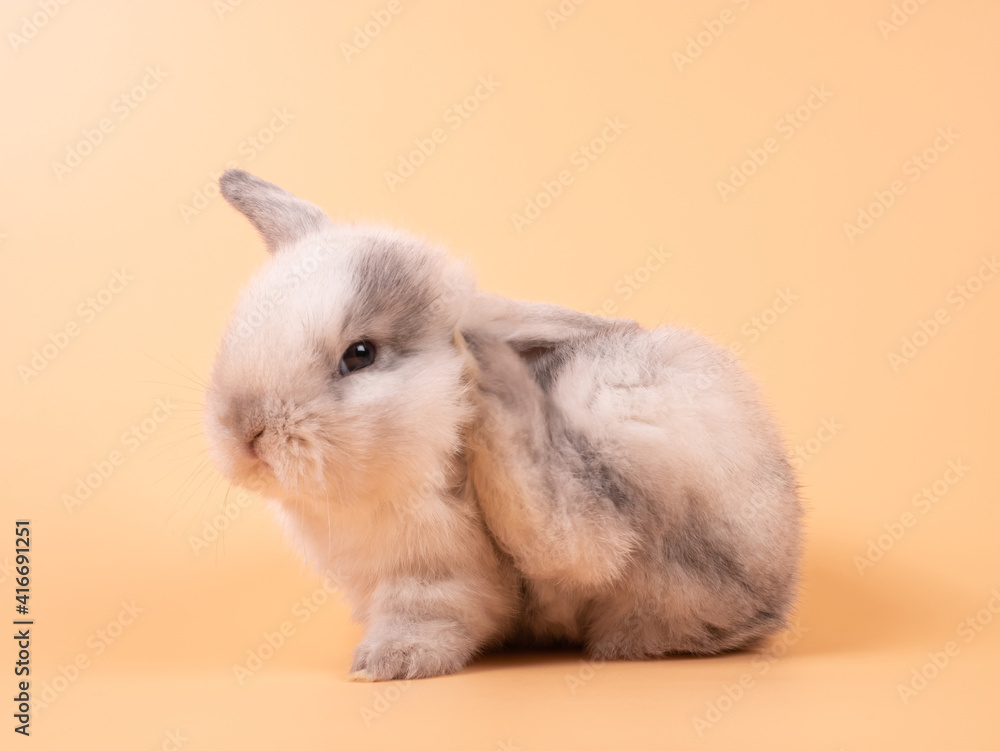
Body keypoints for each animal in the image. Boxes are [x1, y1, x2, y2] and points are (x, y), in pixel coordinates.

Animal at [204, 169, 803, 682]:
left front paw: (386, 663)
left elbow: (430, 616)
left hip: (619, 417)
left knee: (588, 538)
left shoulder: (434, 575)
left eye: (360, 354)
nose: (247, 433)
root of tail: (777, 592)